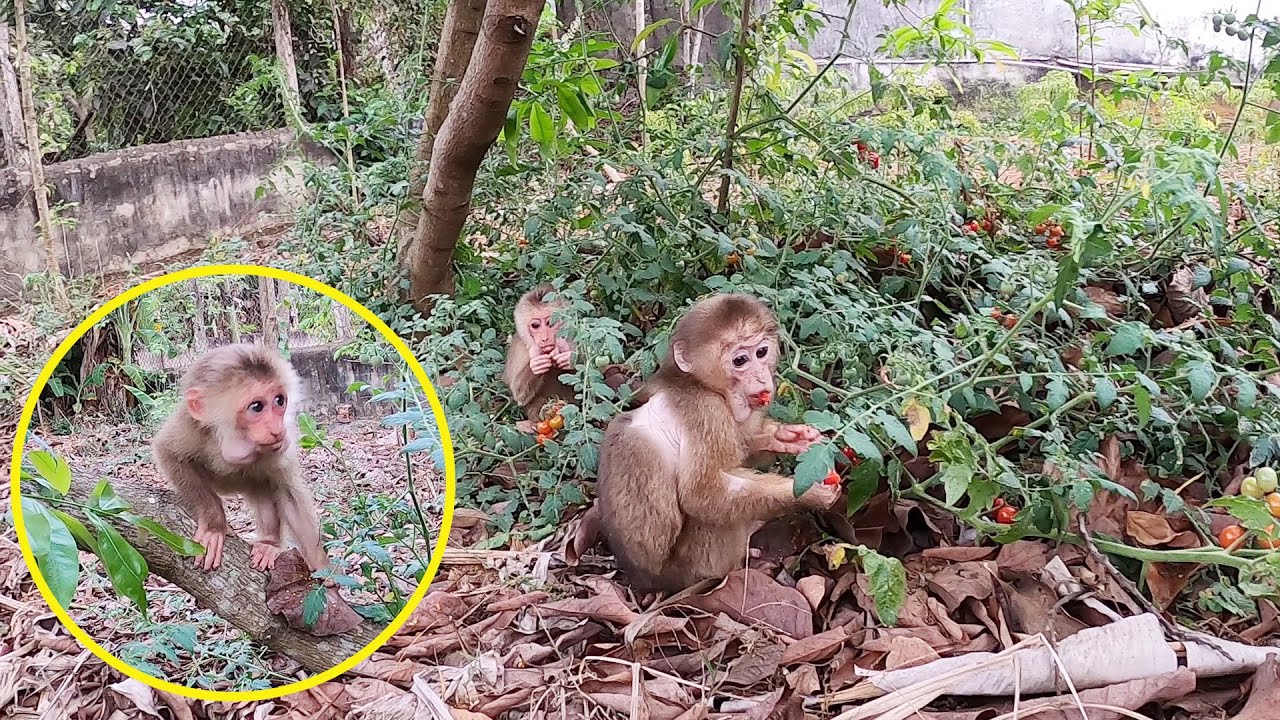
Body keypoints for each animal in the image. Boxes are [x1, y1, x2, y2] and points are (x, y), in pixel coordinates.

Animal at [152, 343, 329, 574]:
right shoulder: (190, 426)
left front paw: (326, 573)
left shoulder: (282, 445)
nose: (277, 429)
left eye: (279, 401)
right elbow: (169, 453)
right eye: (257, 407)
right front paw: (215, 526)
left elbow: (289, 496)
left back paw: (269, 543)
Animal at [503, 284, 576, 425]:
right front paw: (536, 365)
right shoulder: (519, 348)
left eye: (550, 323)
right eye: (535, 325)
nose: (544, 338)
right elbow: (520, 396)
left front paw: (568, 359)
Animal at [594, 293, 841, 593]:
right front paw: (809, 494)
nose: (761, 378)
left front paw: (785, 437)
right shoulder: (706, 411)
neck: (696, 383)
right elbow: (701, 493)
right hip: (694, 565)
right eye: (740, 360)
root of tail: (646, 580)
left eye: (761, 353)